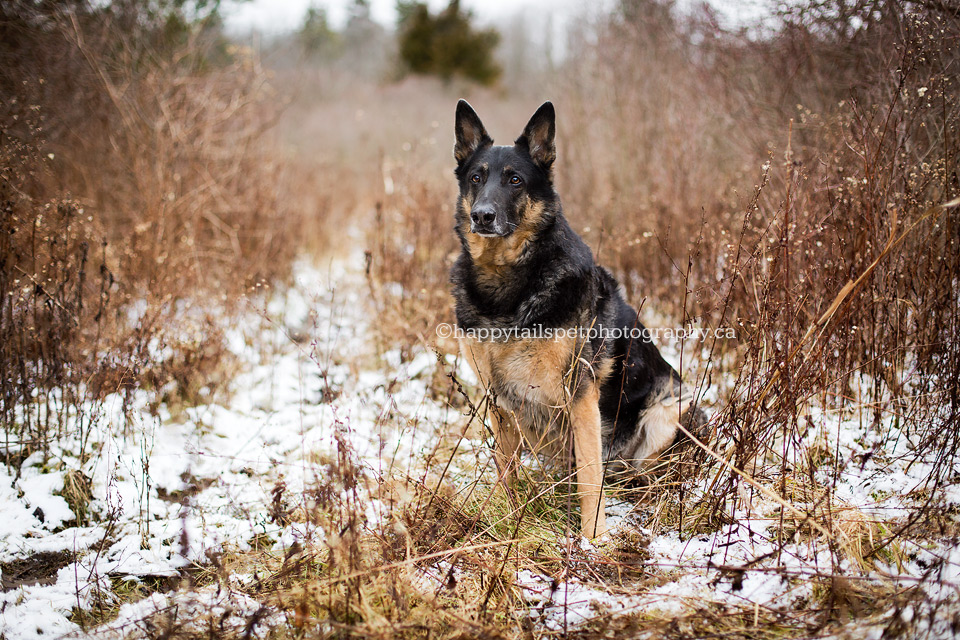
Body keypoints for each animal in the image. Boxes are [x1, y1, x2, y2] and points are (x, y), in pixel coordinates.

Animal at [450, 101, 696, 540]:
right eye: (477, 177)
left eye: (515, 180)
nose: (482, 216)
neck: (508, 282)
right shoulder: (497, 399)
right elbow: (506, 471)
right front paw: (509, 522)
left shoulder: (581, 396)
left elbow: (589, 478)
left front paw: (592, 539)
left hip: (668, 412)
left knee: (639, 473)